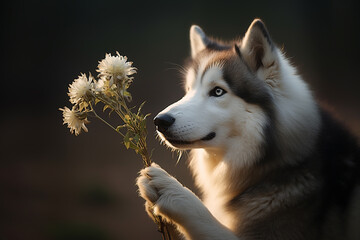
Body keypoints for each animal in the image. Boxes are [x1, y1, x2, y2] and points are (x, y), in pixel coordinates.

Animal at [136, 19, 360, 239]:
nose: (160, 121)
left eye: (218, 91)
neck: (271, 169)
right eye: (189, 90)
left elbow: (204, 220)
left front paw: (171, 191)